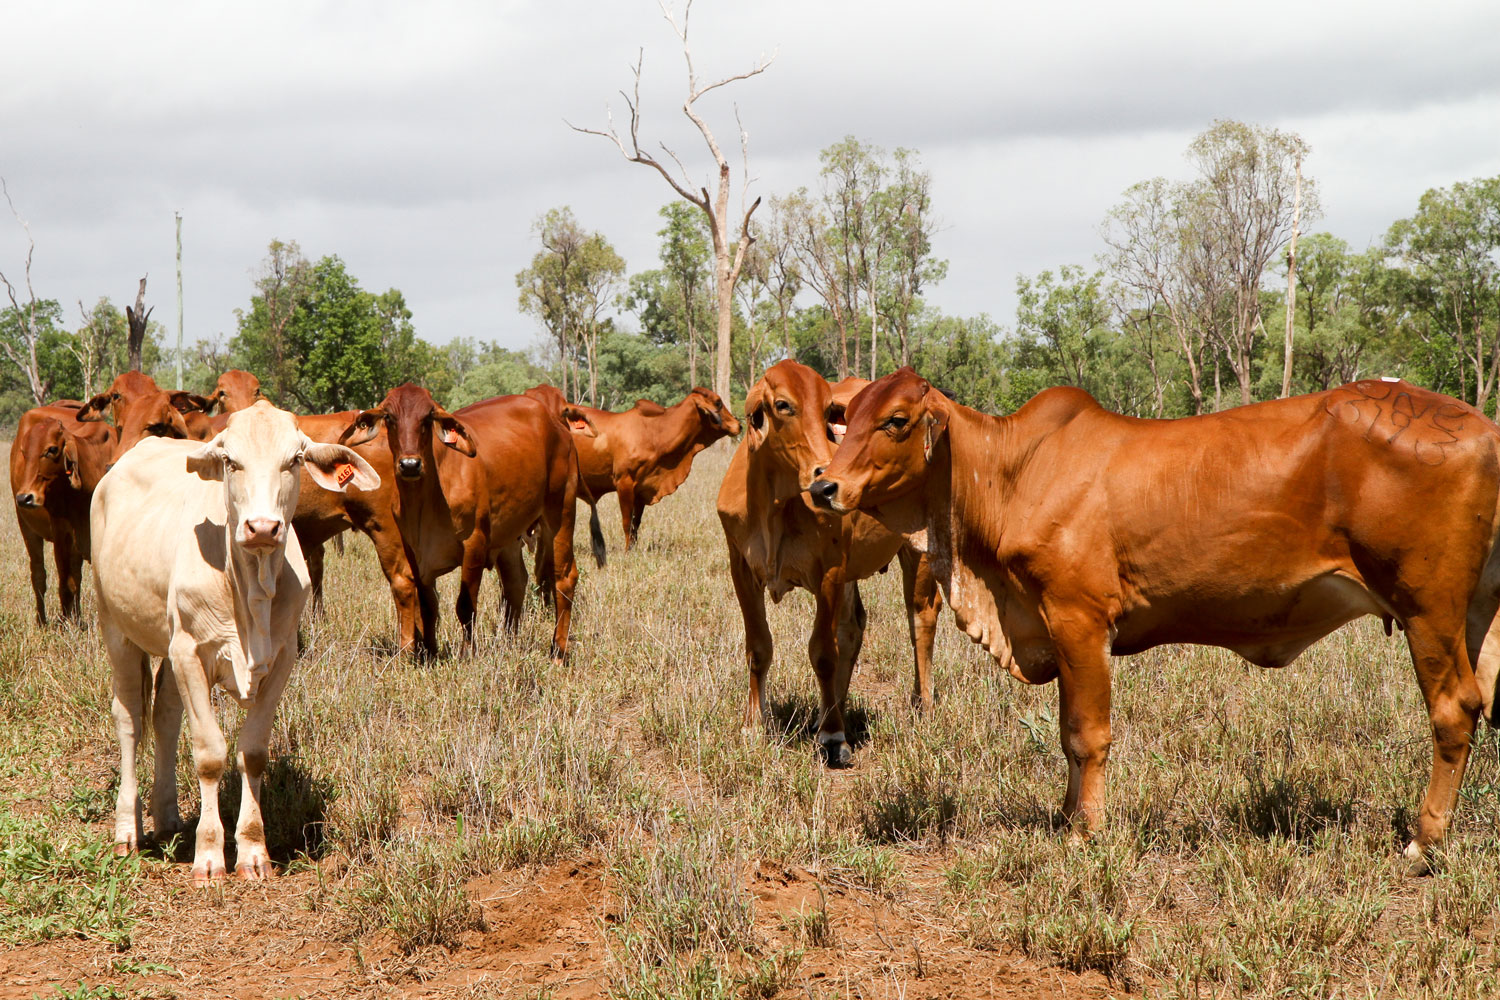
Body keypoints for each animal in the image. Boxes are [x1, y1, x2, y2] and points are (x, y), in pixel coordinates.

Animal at [11, 402, 116, 623]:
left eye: (52, 449)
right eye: (24, 452)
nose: (25, 497)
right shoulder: (62, 532)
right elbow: (66, 585)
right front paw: (66, 625)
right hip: (27, 527)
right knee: (39, 575)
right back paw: (43, 621)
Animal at [91, 400, 377, 882]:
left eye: (294, 460)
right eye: (231, 462)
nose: (262, 527)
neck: (250, 590)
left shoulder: (281, 659)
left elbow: (253, 752)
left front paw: (253, 851)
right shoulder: (190, 652)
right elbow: (209, 753)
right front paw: (209, 855)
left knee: (165, 715)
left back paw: (166, 817)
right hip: (116, 628)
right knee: (129, 717)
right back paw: (128, 830)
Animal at [573, 387, 741, 562]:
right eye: (718, 402)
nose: (739, 425)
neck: (654, 432)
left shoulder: (641, 490)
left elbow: (635, 525)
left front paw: (632, 550)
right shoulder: (624, 483)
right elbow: (627, 523)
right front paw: (626, 552)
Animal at [718, 361, 942, 765]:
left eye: (826, 412)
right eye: (783, 405)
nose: (824, 475)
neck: (774, 503)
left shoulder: (830, 571)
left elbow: (823, 652)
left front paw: (834, 737)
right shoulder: (740, 567)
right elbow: (759, 647)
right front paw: (753, 725)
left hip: (918, 552)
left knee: (921, 619)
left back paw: (922, 707)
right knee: (853, 629)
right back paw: (830, 709)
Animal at [809, 369, 1500, 867]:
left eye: (896, 420)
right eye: (849, 416)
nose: (823, 487)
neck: (1008, 475)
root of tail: (1482, 427)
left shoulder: (1080, 619)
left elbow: (1087, 735)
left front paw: (1084, 833)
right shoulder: (1058, 629)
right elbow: (1067, 733)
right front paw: (1067, 818)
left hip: (1427, 606)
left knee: (1454, 710)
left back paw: (1423, 842)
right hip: (1475, 615)